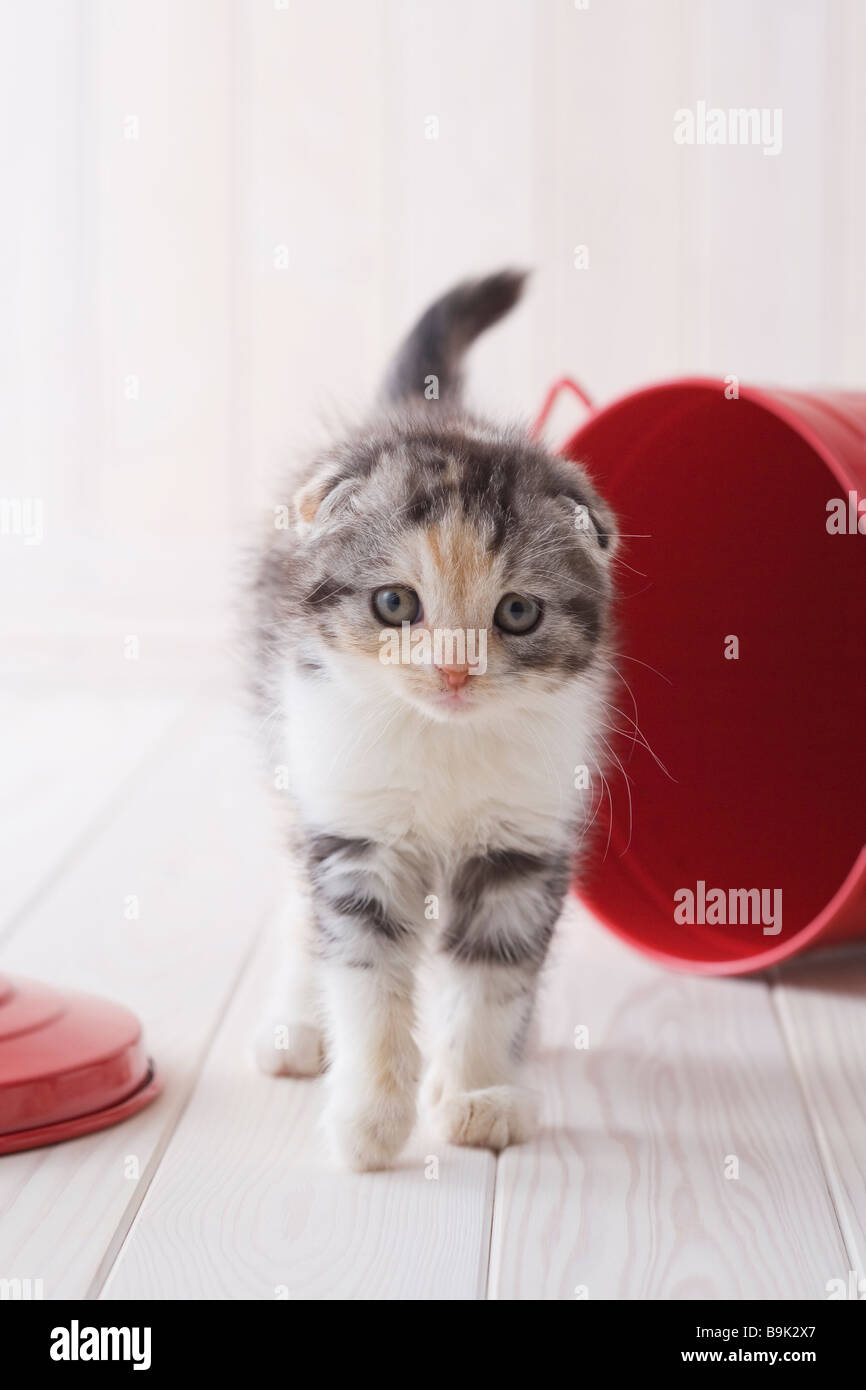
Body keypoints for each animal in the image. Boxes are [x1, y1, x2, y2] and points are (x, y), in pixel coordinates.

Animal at [250, 265, 617, 1167]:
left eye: (517, 613)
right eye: (395, 603)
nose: (453, 668)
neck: (445, 747)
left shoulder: (523, 844)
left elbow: (489, 976)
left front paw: (480, 1094)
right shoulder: (356, 834)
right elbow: (366, 977)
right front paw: (370, 1121)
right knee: (296, 897)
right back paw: (294, 1027)